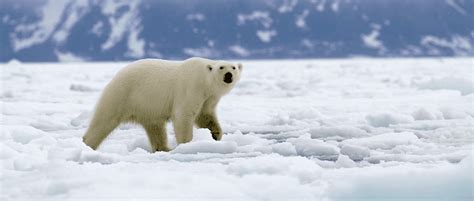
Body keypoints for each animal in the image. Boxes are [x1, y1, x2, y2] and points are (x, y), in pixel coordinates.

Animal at [82, 57, 243, 152]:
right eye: (221, 67)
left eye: (233, 67)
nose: (228, 75)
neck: (204, 81)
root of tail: (117, 75)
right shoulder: (191, 87)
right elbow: (183, 115)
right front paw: (187, 144)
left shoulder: (209, 97)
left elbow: (205, 115)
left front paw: (216, 134)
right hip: (122, 94)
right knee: (103, 121)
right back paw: (87, 144)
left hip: (146, 107)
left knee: (156, 128)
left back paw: (164, 148)